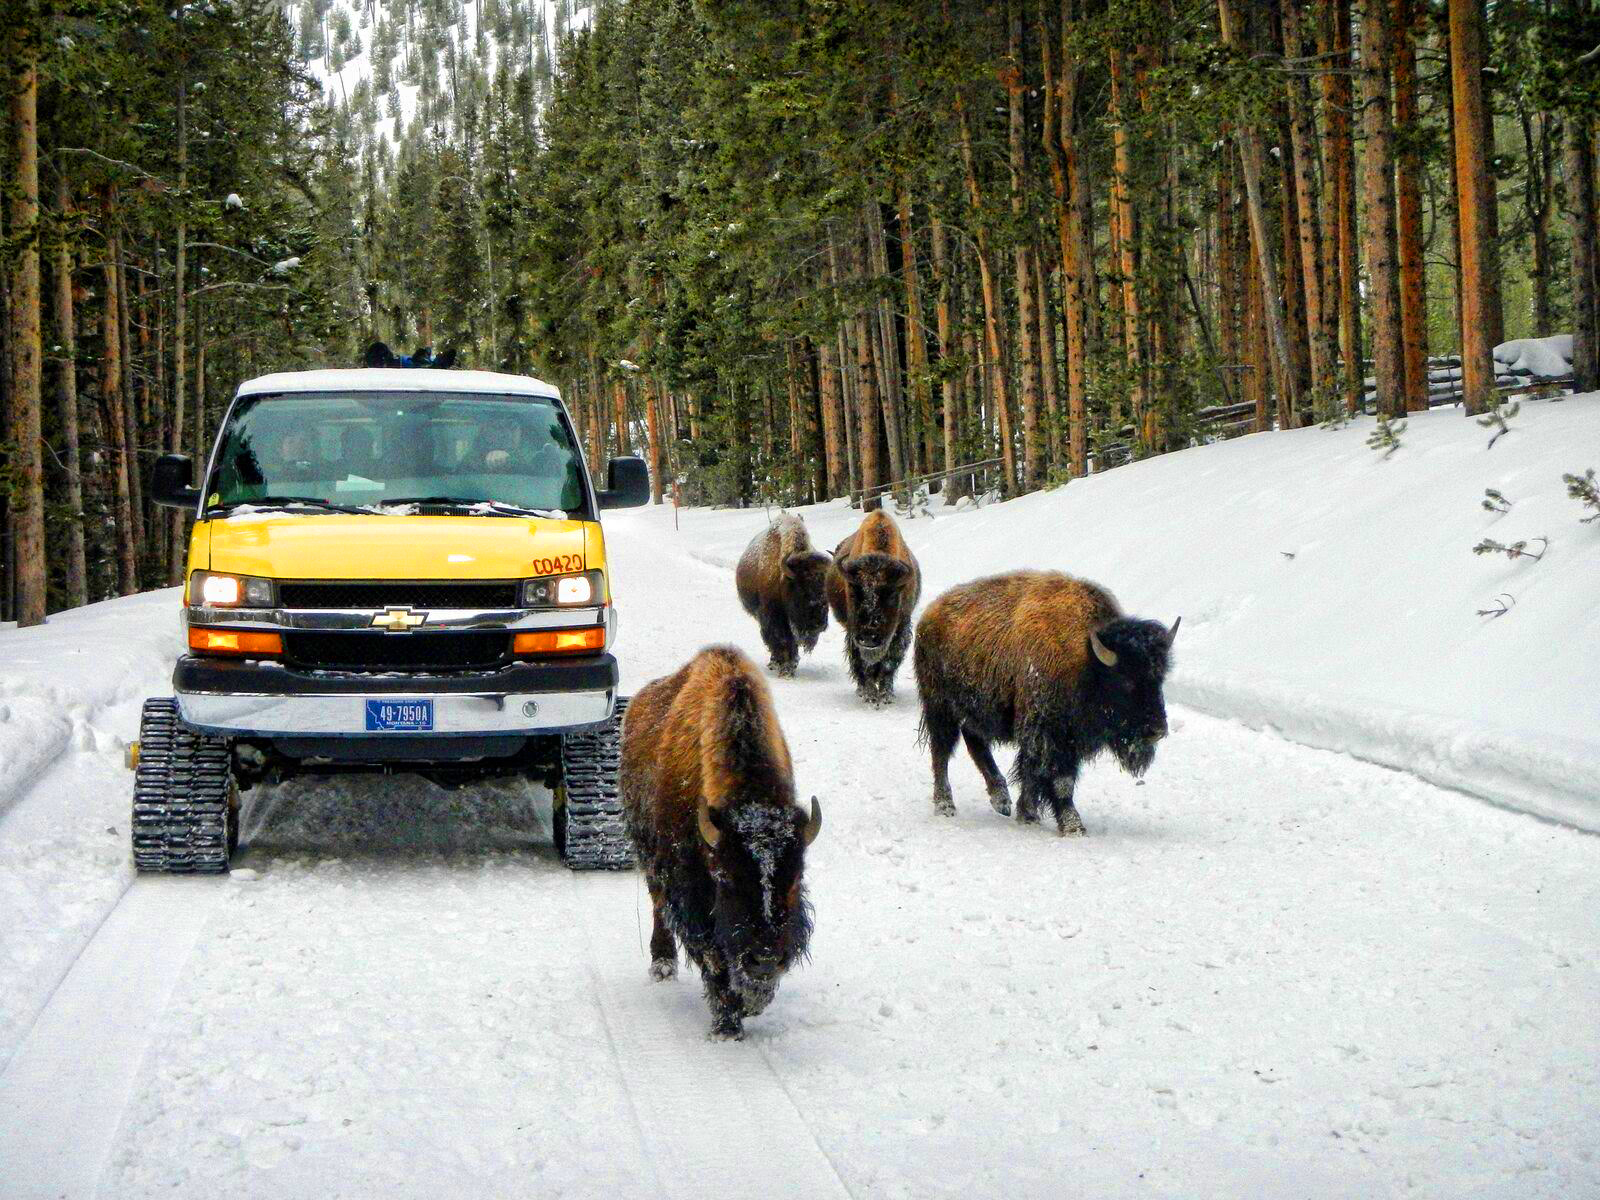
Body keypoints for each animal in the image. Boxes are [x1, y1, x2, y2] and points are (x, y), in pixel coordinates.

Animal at [617, 649, 819, 1043]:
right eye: (727, 879)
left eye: (796, 877)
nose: (765, 959)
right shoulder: (690, 894)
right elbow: (714, 959)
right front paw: (728, 1026)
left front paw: (752, 1003)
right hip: (648, 856)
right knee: (658, 904)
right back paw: (662, 964)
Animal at [736, 515, 832, 681]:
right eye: (803, 590)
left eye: (827, 594)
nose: (818, 625)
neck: (784, 581)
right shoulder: (773, 618)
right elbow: (781, 640)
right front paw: (785, 670)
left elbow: (791, 643)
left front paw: (790, 668)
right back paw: (774, 663)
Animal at [825, 508, 928, 704]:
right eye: (853, 592)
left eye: (892, 595)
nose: (869, 637)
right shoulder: (853, 632)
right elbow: (862, 663)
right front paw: (870, 695)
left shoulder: (900, 627)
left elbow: (889, 662)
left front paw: (886, 695)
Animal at [915, 569, 1177, 838]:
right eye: (1125, 679)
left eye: (1159, 677)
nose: (1157, 730)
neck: (1085, 659)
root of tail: (929, 615)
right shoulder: (1050, 735)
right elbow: (1060, 781)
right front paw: (1074, 827)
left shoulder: (1054, 737)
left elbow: (1033, 774)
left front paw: (1028, 815)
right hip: (940, 708)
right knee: (941, 753)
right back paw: (945, 806)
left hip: (977, 711)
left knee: (974, 742)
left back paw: (1002, 801)